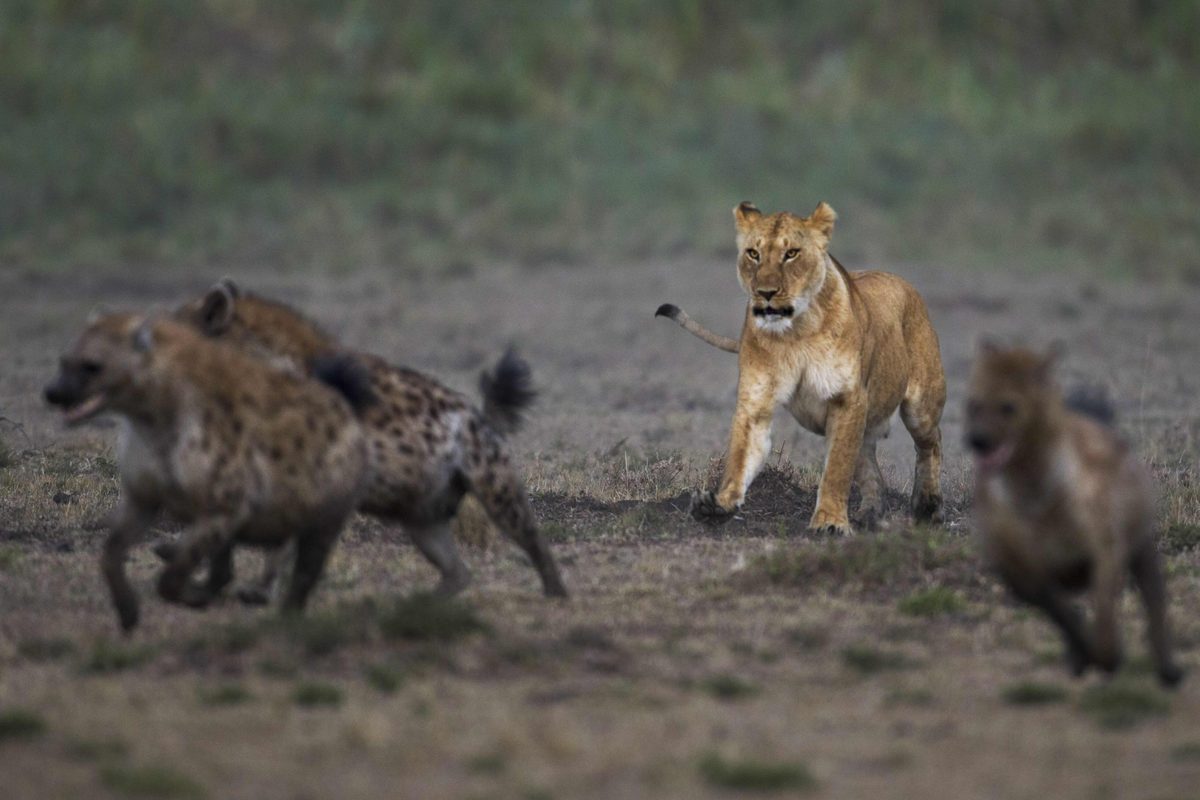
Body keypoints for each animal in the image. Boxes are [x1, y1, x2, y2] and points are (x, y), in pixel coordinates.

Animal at [657, 201, 946, 534]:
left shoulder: (847, 399)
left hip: (921, 404)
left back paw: (928, 507)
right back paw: (871, 513)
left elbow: (836, 468)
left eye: (792, 253)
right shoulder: (755, 401)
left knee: (930, 443)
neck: (796, 332)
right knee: (869, 462)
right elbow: (740, 456)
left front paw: (830, 522)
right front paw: (718, 505)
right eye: (753, 253)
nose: (766, 292)